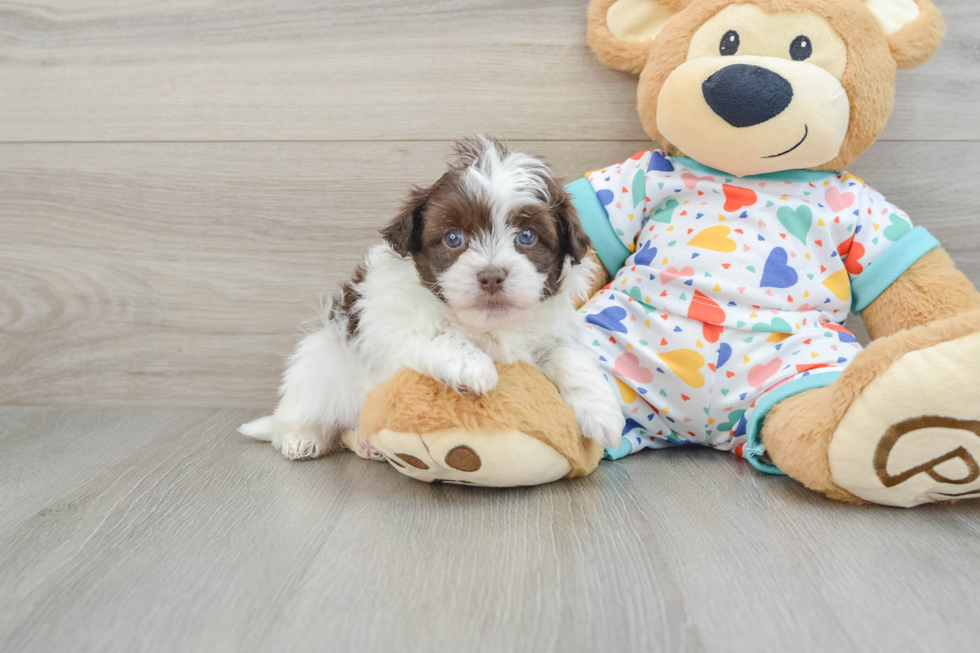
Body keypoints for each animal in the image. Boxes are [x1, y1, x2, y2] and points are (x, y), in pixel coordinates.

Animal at [243, 136, 628, 458]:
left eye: (528, 236)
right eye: (453, 238)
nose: (491, 275)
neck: (487, 326)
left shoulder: (551, 330)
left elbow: (569, 355)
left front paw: (602, 411)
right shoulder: (387, 323)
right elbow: (432, 333)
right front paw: (472, 365)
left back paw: (367, 444)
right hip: (319, 366)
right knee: (300, 415)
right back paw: (301, 438)